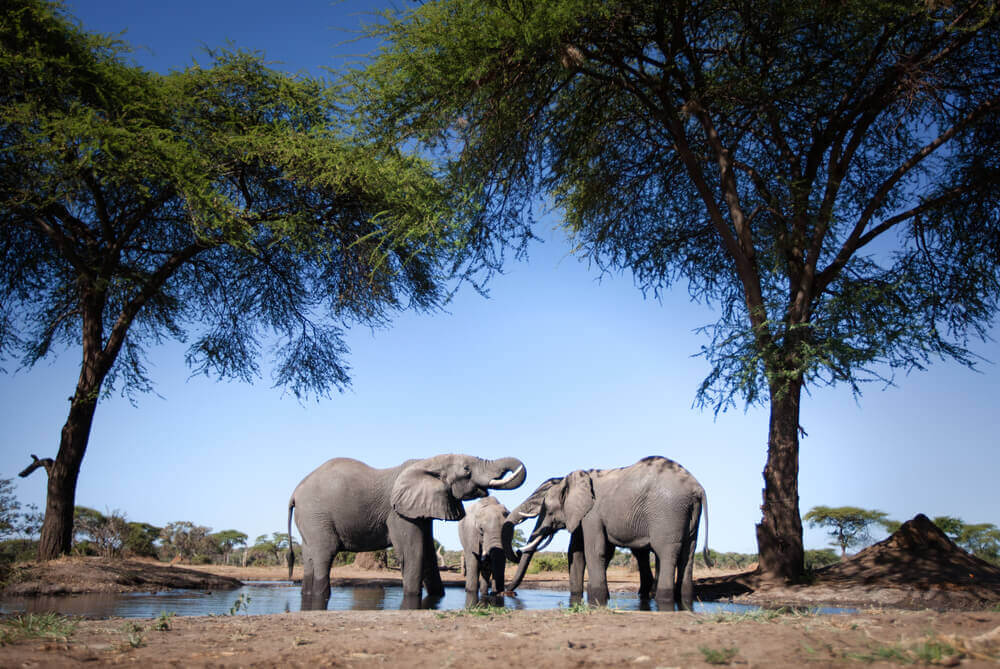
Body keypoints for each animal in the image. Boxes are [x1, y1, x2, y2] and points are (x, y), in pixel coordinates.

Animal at [288, 454, 528, 604]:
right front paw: (413, 598)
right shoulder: (398, 513)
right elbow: (414, 551)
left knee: (309, 556)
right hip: (316, 515)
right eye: (467, 470)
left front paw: (437, 597)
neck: (429, 462)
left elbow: (428, 551)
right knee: (324, 554)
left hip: (309, 520)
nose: (506, 593)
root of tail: (295, 493)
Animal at [500, 456, 712, 608]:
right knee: (688, 555)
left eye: (547, 509)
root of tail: (698, 488)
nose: (508, 592)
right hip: (688, 515)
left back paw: (664, 601)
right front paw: (577, 599)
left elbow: (595, 551)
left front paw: (596, 600)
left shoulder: (592, 514)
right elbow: (576, 552)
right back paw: (684, 602)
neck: (575, 478)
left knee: (666, 553)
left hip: (668, 511)